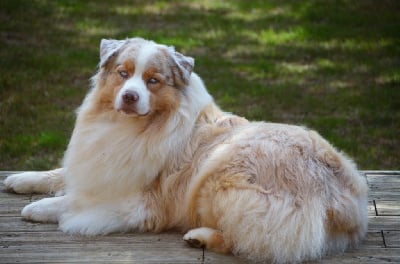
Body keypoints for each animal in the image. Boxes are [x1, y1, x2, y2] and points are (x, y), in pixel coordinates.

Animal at [5, 37, 368, 264]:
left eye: (153, 81)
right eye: (123, 73)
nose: (129, 97)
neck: (134, 127)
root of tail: (348, 201)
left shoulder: (141, 201)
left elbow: (76, 201)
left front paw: (38, 208)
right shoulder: (98, 165)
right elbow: (60, 174)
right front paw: (20, 180)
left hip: (221, 179)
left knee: (253, 243)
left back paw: (200, 237)